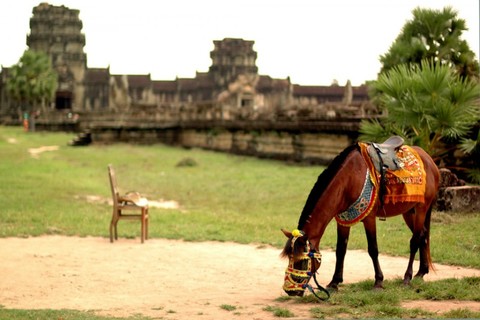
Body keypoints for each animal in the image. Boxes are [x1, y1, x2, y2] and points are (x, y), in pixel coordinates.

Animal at [282, 140, 438, 298]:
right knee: (423, 235)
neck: (349, 180)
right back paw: (421, 272)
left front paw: (378, 282)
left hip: (421, 209)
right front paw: (334, 282)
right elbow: (340, 250)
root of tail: (429, 159)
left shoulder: (369, 219)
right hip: (408, 211)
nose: (290, 290)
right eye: (289, 258)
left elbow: (373, 249)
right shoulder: (343, 221)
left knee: (415, 241)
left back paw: (407, 277)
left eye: (303, 261)